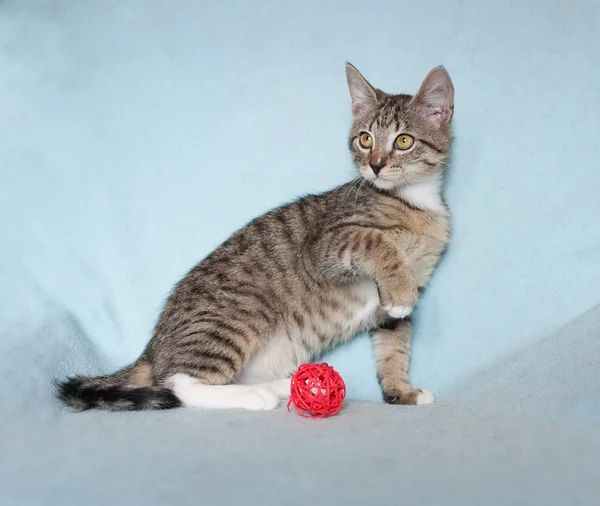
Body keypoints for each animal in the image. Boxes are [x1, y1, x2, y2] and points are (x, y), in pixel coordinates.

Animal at [58, 63, 454, 412]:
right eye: (365, 139)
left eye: (404, 141)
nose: (375, 165)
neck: (414, 201)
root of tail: (154, 347)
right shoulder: (326, 245)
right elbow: (375, 241)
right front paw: (399, 289)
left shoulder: (400, 302)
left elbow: (394, 347)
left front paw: (401, 391)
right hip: (240, 312)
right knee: (177, 384)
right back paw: (254, 396)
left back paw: (283, 386)